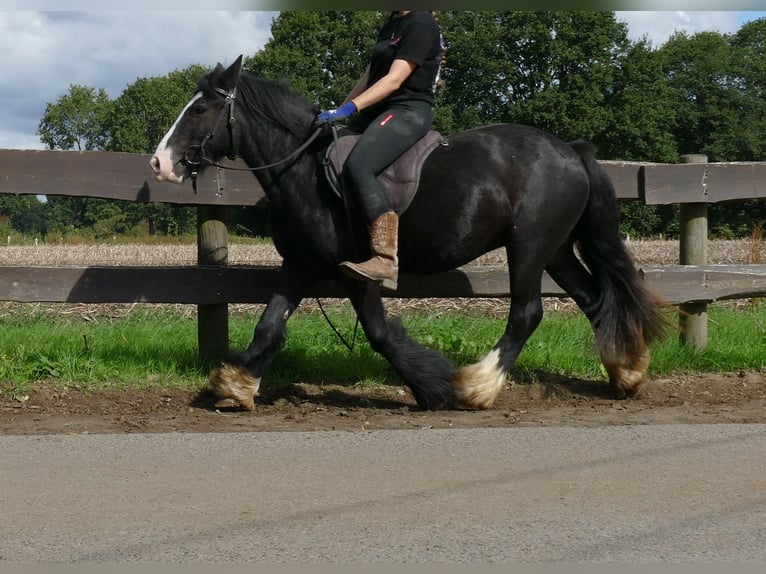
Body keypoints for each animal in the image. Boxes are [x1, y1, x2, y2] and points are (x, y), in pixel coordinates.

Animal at [150, 55, 667, 412]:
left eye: (200, 110)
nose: (159, 163)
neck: (304, 170)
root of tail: (570, 151)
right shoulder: (299, 265)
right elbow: (269, 325)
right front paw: (234, 385)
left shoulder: (356, 273)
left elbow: (379, 333)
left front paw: (432, 387)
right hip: (556, 250)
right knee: (594, 299)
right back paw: (626, 374)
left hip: (529, 248)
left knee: (527, 313)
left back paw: (476, 386)